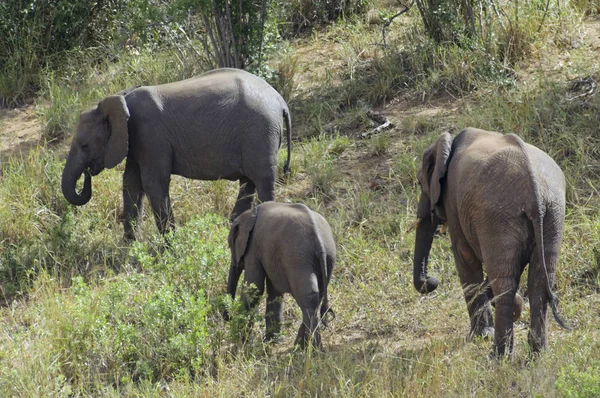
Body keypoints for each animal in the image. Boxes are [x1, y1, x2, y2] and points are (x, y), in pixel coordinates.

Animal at [62, 67, 292, 239]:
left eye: (85, 145)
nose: (87, 174)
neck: (120, 98)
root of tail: (280, 101)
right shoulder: (135, 141)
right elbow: (131, 183)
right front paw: (130, 246)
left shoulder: (150, 136)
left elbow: (152, 182)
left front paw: (169, 246)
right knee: (248, 182)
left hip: (261, 132)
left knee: (263, 181)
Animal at [226, 202, 336, 348]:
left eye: (230, 246)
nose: (227, 318)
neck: (250, 213)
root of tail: (321, 244)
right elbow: (275, 292)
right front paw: (272, 341)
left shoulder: (253, 247)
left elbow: (254, 288)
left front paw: (240, 343)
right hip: (328, 257)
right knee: (317, 296)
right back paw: (301, 347)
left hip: (298, 259)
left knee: (308, 297)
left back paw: (311, 349)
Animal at [414, 128, 568, 358]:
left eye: (419, 183)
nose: (432, 280)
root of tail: (535, 193)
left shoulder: (453, 201)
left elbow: (464, 257)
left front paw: (479, 336)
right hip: (553, 213)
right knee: (540, 281)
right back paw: (537, 354)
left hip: (498, 216)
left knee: (504, 282)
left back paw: (498, 357)